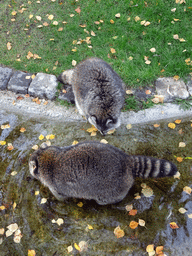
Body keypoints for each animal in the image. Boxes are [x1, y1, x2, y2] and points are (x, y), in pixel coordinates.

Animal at [28, 141, 177, 205]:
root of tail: (126, 161)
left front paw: (53, 199)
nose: (29, 171)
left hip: (112, 188)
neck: (47, 158)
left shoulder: (55, 185)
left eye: (30, 166)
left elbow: (60, 196)